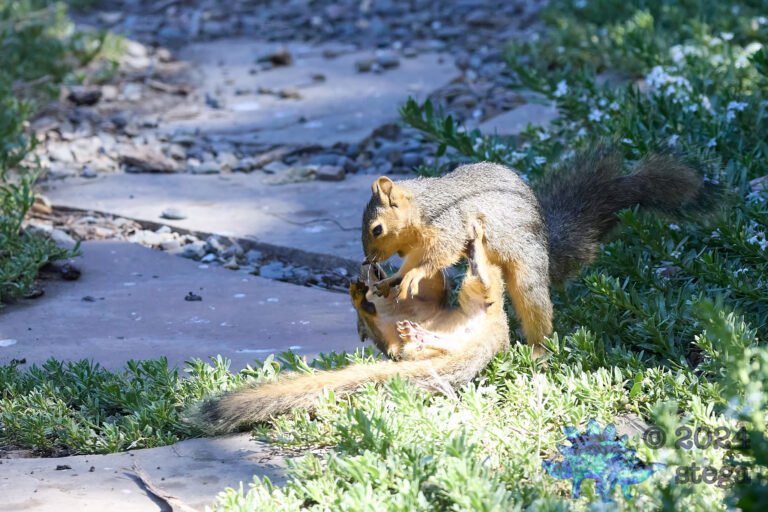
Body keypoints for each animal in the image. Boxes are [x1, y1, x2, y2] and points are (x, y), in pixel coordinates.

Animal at [362, 145, 716, 353]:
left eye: (377, 228)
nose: (368, 260)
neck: (424, 208)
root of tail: (546, 245)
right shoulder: (417, 245)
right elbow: (414, 261)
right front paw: (392, 279)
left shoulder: (450, 223)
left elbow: (439, 254)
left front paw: (413, 277)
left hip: (527, 270)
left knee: (534, 309)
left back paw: (539, 352)